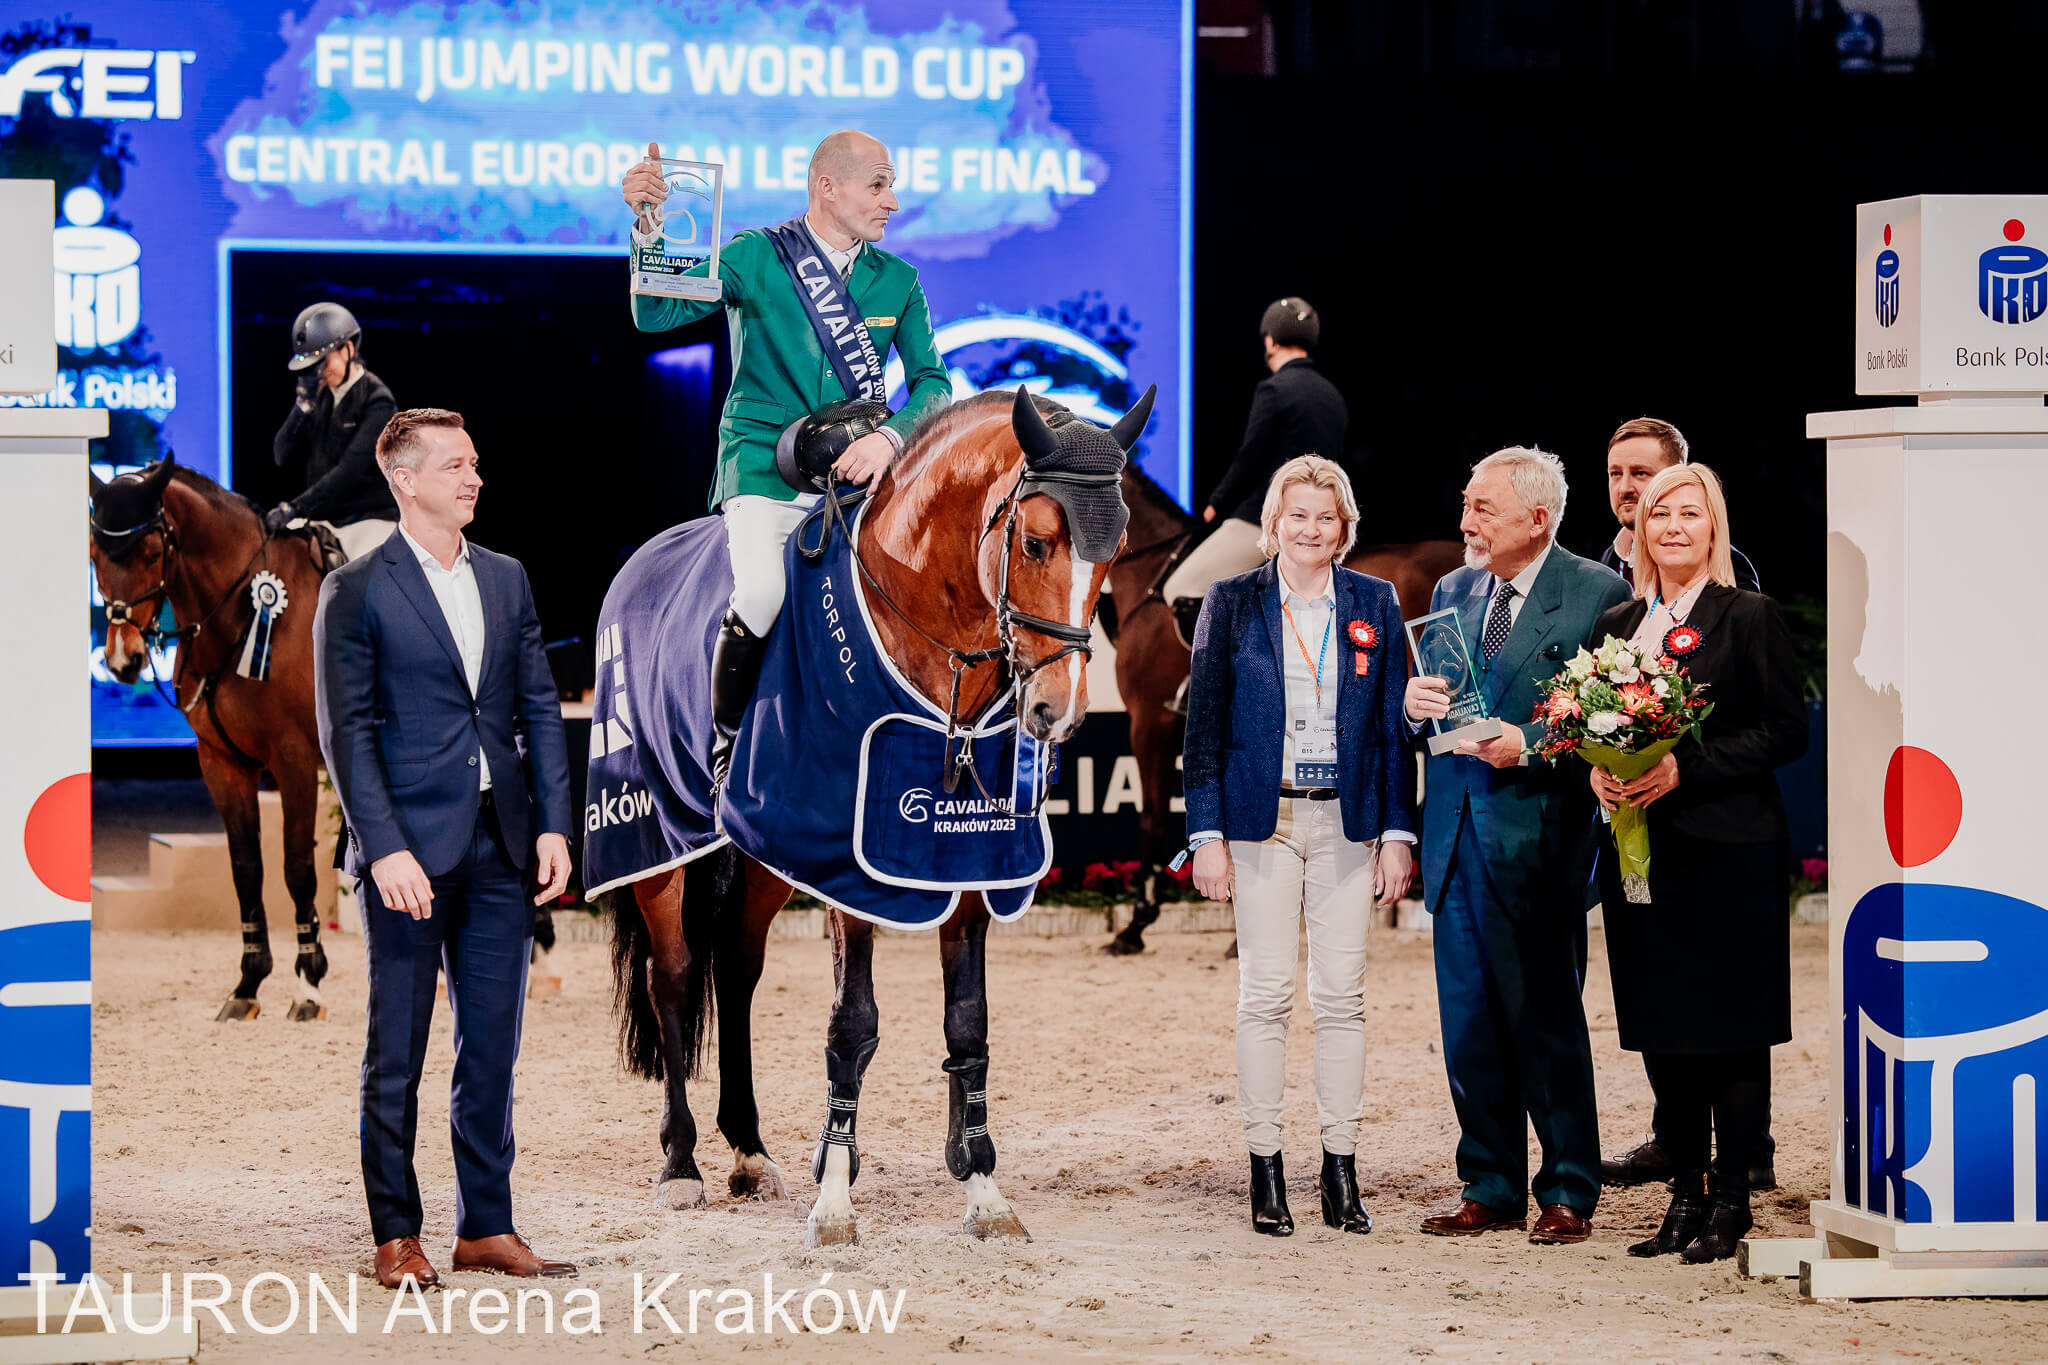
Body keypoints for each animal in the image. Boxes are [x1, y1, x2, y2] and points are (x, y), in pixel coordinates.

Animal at [90, 464, 333, 1019]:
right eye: (94, 555)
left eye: (151, 554)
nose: (123, 661)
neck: (242, 620)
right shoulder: (221, 762)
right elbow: (246, 867)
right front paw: (247, 985)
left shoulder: (293, 759)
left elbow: (297, 866)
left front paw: (308, 986)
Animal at [606, 384, 1155, 1252]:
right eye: (1036, 542)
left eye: (1116, 547)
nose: (1057, 713)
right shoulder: (846, 868)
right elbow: (852, 1023)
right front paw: (836, 1195)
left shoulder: (967, 859)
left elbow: (968, 1024)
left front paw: (983, 1189)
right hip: (659, 847)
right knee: (675, 977)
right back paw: (682, 1163)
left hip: (765, 857)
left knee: (736, 969)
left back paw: (749, 1150)